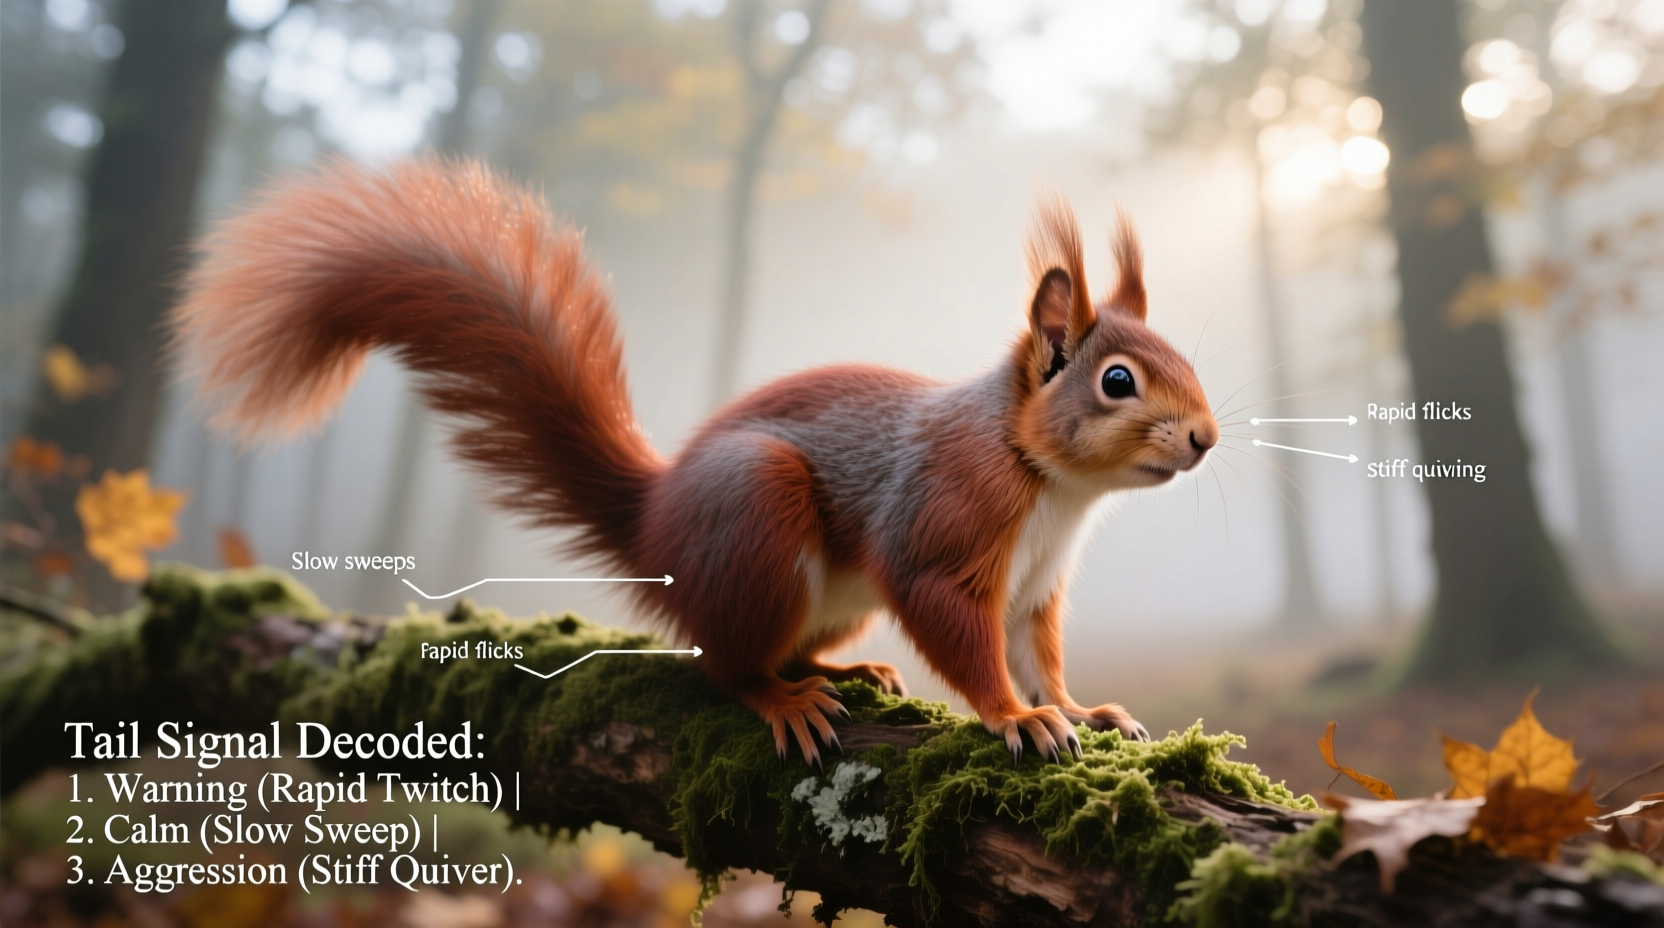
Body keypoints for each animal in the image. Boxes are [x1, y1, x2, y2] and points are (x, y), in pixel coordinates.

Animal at [170, 160, 1218, 766]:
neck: (1050, 484)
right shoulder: (945, 528)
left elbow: (1038, 653)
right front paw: (1013, 718)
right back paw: (784, 700)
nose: (1206, 437)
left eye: (1185, 356)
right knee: (723, 663)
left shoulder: (1035, 588)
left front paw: (1083, 708)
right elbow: (960, 630)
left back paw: (843, 671)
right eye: (1117, 381)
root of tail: (655, 523)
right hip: (757, 513)